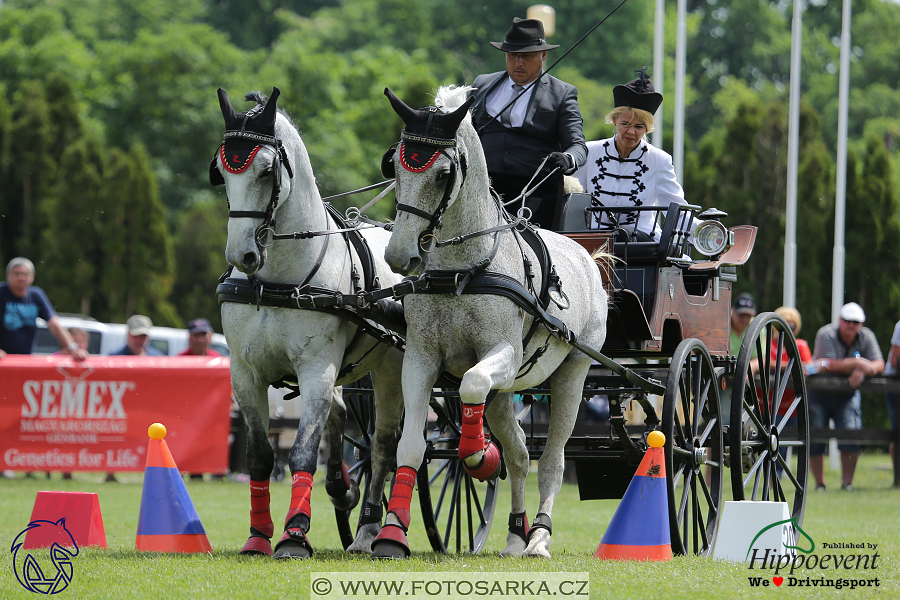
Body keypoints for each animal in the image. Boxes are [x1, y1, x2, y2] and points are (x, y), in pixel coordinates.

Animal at [209, 88, 402, 556]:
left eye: (266, 169)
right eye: (221, 170)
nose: (241, 255)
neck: (276, 280)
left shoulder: (316, 368)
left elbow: (301, 451)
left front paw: (294, 534)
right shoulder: (244, 373)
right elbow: (261, 455)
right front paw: (258, 534)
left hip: (393, 368)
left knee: (384, 444)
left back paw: (370, 530)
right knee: (341, 416)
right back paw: (342, 490)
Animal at [370, 86, 608, 560]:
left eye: (443, 173)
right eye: (395, 166)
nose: (399, 256)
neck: (462, 271)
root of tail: (588, 256)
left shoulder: (504, 355)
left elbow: (472, 384)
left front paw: (479, 456)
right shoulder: (420, 358)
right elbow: (411, 445)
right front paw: (391, 532)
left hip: (572, 373)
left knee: (552, 459)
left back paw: (538, 537)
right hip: (508, 390)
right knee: (519, 454)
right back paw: (516, 534)